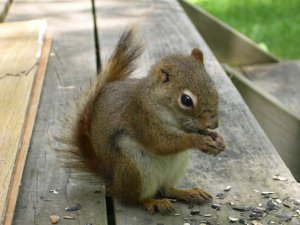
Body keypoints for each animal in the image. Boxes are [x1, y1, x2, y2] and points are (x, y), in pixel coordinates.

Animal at [56, 27, 225, 214]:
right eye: (186, 100)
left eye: (214, 88)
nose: (214, 124)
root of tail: (115, 184)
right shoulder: (141, 118)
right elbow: (161, 143)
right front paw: (198, 141)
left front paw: (217, 139)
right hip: (136, 168)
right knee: (135, 198)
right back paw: (153, 202)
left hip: (176, 166)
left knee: (167, 189)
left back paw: (187, 192)